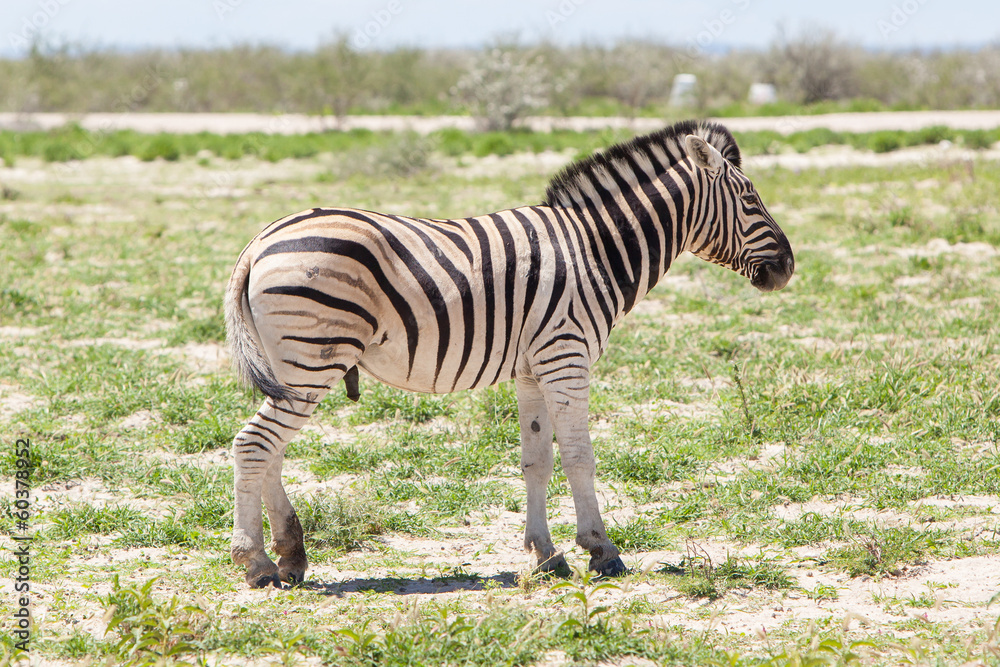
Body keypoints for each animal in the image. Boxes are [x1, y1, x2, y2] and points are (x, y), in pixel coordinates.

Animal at [224, 119, 794, 588]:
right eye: (750, 199)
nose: (788, 268)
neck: (595, 249)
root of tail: (259, 241)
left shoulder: (532, 368)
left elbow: (536, 459)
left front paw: (546, 555)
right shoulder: (566, 356)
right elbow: (580, 456)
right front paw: (601, 551)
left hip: (293, 366)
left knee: (271, 449)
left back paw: (291, 556)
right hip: (313, 358)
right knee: (254, 444)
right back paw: (256, 562)